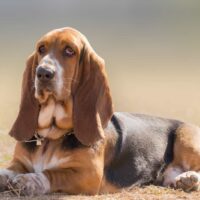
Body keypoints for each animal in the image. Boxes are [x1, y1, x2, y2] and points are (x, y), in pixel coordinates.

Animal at [0, 27, 200, 196]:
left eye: (69, 51)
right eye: (41, 49)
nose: (43, 72)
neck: (52, 136)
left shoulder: (88, 174)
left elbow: (51, 173)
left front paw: (28, 180)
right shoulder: (19, 162)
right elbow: (7, 171)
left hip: (186, 138)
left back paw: (189, 177)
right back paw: (184, 180)